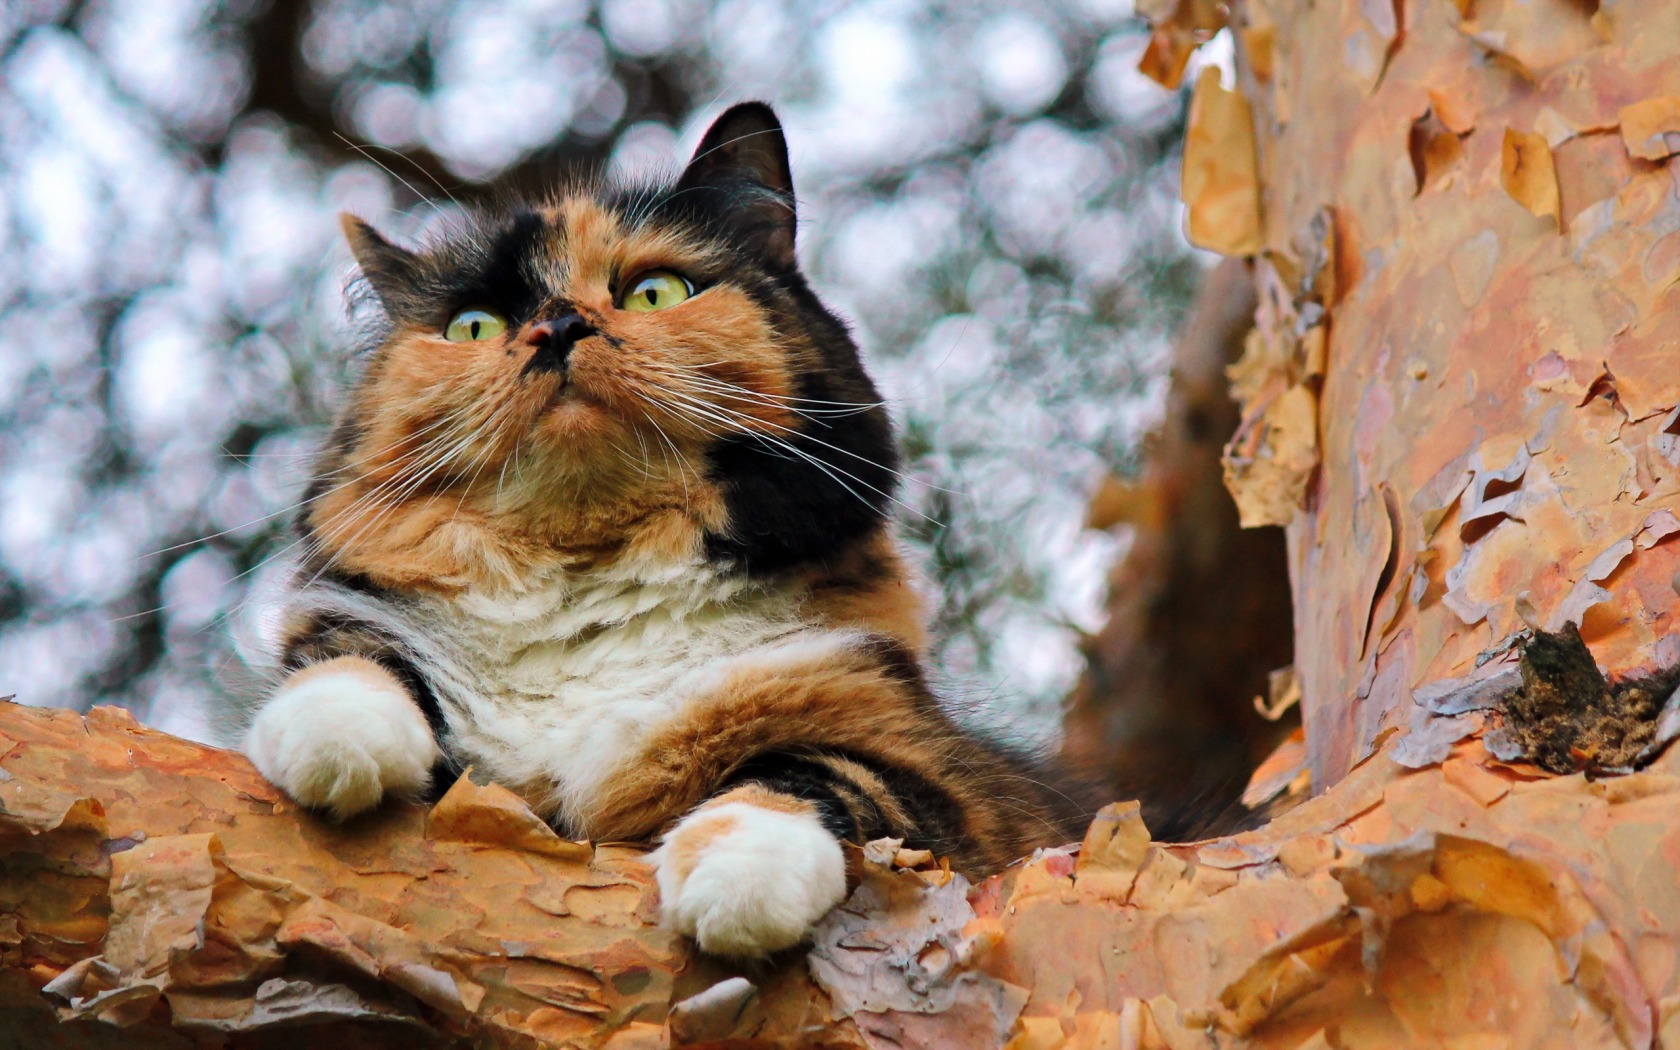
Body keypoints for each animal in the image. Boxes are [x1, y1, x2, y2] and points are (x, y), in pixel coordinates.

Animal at [245, 104, 1088, 960]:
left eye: (654, 293)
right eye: (472, 326)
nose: (557, 326)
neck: (584, 595)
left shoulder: (954, 788)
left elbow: (822, 774)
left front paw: (738, 873)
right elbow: (352, 659)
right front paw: (338, 736)